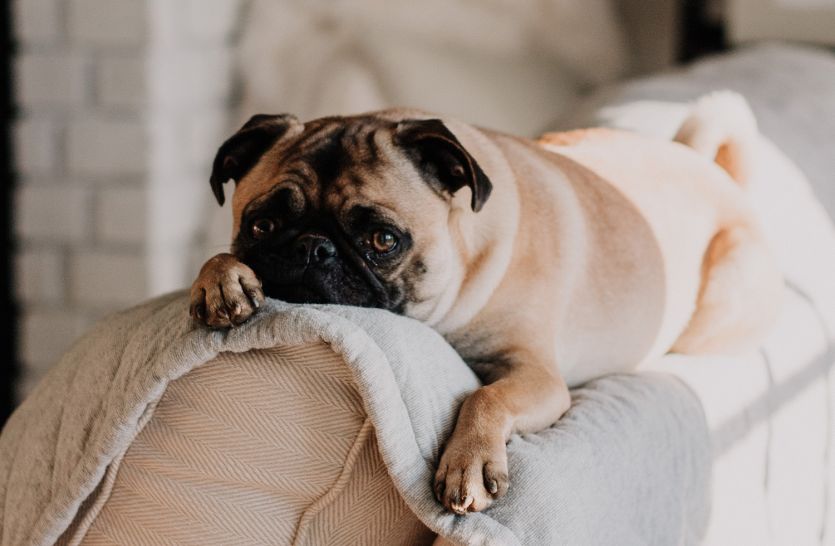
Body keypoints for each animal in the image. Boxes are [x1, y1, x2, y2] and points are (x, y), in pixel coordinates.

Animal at [189, 93, 784, 516]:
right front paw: (220, 280)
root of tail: (714, 172)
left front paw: (469, 463)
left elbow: (485, 397)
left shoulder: (537, 376)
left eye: (383, 240)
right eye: (262, 225)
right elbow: (218, 258)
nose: (314, 249)